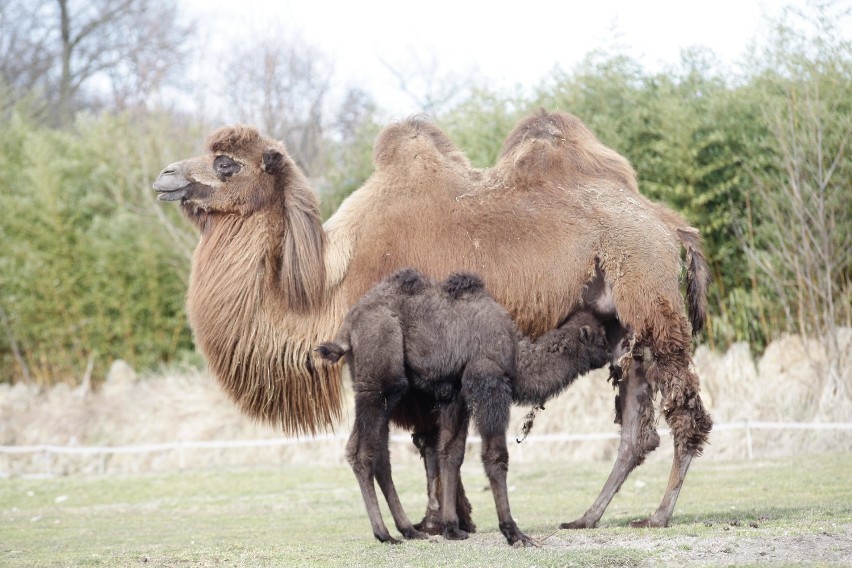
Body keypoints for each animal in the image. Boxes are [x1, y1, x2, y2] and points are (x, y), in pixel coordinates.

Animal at [316, 268, 608, 548]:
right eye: (602, 337)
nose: (611, 354)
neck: (516, 357)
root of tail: (346, 329)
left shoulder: (455, 394)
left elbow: (451, 453)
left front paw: (452, 528)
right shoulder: (489, 383)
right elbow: (495, 456)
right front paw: (513, 533)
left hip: (374, 385)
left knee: (377, 453)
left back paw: (410, 530)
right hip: (381, 378)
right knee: (362, 451)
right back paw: (384, 534)